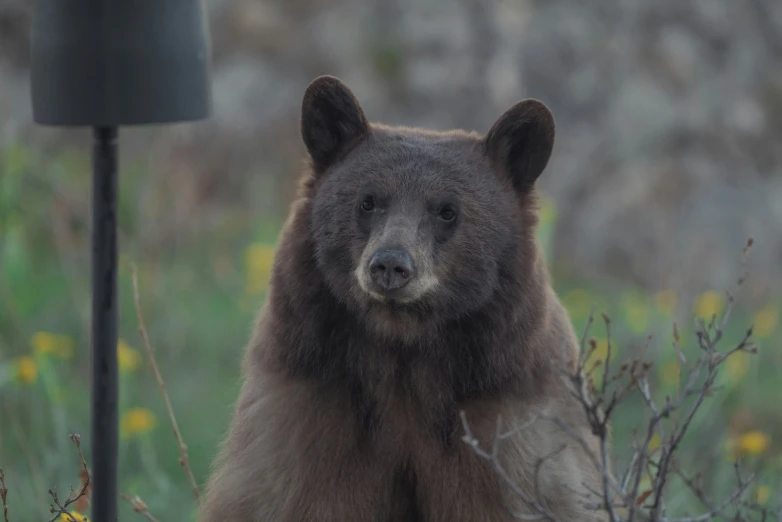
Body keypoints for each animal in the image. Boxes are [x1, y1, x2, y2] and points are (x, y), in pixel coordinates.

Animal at [199, 74, 608, 520]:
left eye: (447, 210)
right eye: (368, 201)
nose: (390, 265)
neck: (403, 354)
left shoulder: (513, 425)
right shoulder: (307, 409)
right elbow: (288, 496)